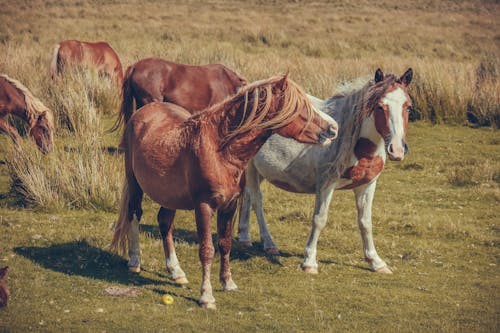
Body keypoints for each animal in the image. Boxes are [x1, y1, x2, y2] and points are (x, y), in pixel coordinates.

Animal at [112, 74, 340, 308]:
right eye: (301, 106)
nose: (333, 129)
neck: (220, 150)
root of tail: (143, 112)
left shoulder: (229, 205)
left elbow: (225, 243)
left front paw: (228, 283)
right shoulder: (203, 206)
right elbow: (207, 250)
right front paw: (206, 296)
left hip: (169, 195)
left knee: (165, 223)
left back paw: (176, 272)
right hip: (135, 184)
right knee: (134, 214)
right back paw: (135, 260)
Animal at [238, 67, 414, 272]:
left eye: (408, 107)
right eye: (380, 106)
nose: (397, 150)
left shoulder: (367, 185)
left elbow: (365, 222)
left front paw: (376, 262)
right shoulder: (326, 184)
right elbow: (319, 219)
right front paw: (309, 262)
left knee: (247, 197)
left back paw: (244, 238)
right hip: (250, 168)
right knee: (257, 201)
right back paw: (269, 244)